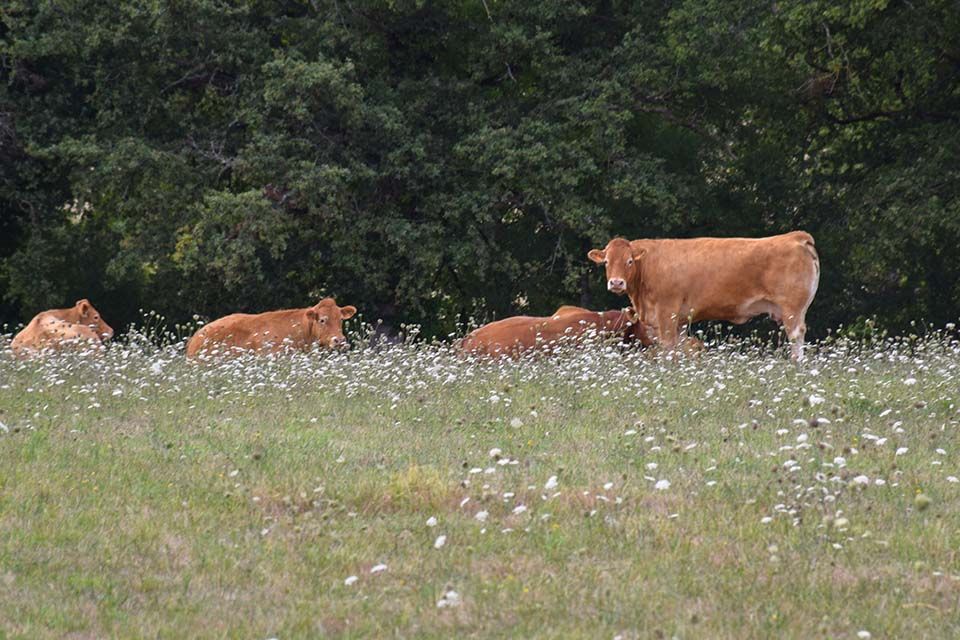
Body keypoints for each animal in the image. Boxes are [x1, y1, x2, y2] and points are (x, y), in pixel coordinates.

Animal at [588, 231, 820, 360]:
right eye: (606, 262)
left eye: (629, 261)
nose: (616, 283)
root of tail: (796, 237)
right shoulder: (680, 320)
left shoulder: (666, 313)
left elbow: (667, 348)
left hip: (792, 309)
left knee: (796, 336)